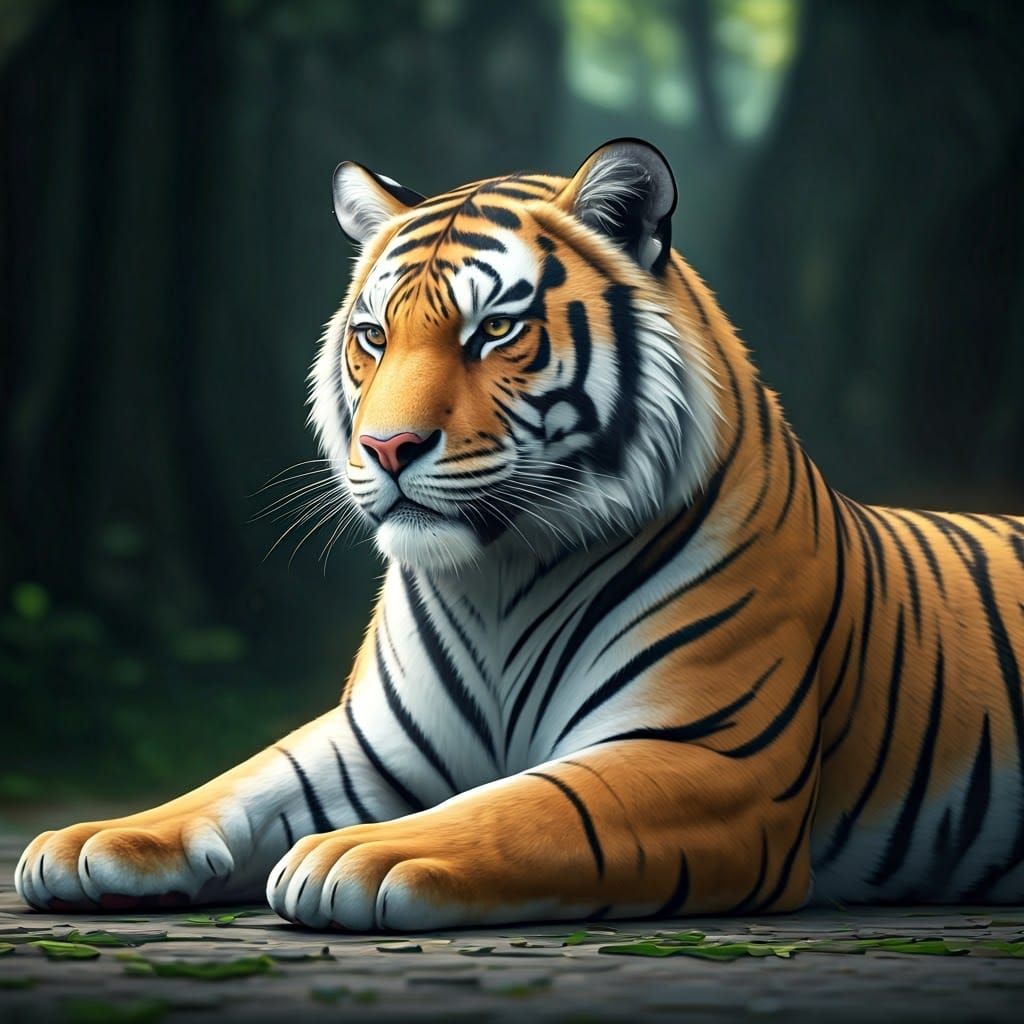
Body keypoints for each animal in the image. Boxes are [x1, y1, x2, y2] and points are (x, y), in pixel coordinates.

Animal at [15, 139, 1024, 931]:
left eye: (494, 330)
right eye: (374, 336)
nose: (386, 447)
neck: (495, 575)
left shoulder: (710, 757)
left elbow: (531, 805)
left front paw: (356, 854)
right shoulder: (370, 741)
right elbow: (241, 782)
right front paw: (94, 839)